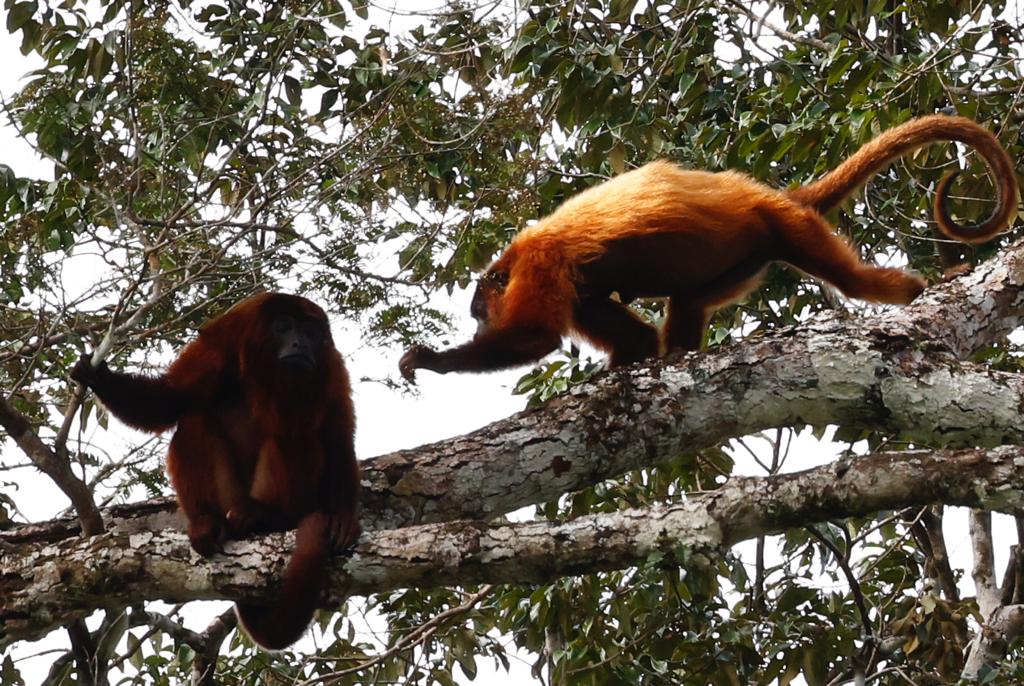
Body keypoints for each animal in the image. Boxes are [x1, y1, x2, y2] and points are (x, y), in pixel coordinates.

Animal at [72, 292, 360, 651]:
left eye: (309, 331)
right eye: (284, 327)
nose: (300, 343)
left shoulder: (330, 367)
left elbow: (338, 437)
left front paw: (344, 519)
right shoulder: (222, 340)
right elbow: (171, 399)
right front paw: (98, 377)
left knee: (294, 432)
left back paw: (266, 515)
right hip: (228, 498)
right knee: (194, 419)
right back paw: (207, 521)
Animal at [397, 114, 1015, 380]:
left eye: (479, 313)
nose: (480, 326)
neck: (511, 262)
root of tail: (772, 196)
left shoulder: (540, 264)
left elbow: (538, 336)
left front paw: (433, 360)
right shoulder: (576, 286)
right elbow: (633, 338)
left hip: (789, 228)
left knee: (853, 281)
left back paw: (918, 289)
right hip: (750, 256)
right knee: (691, 300)